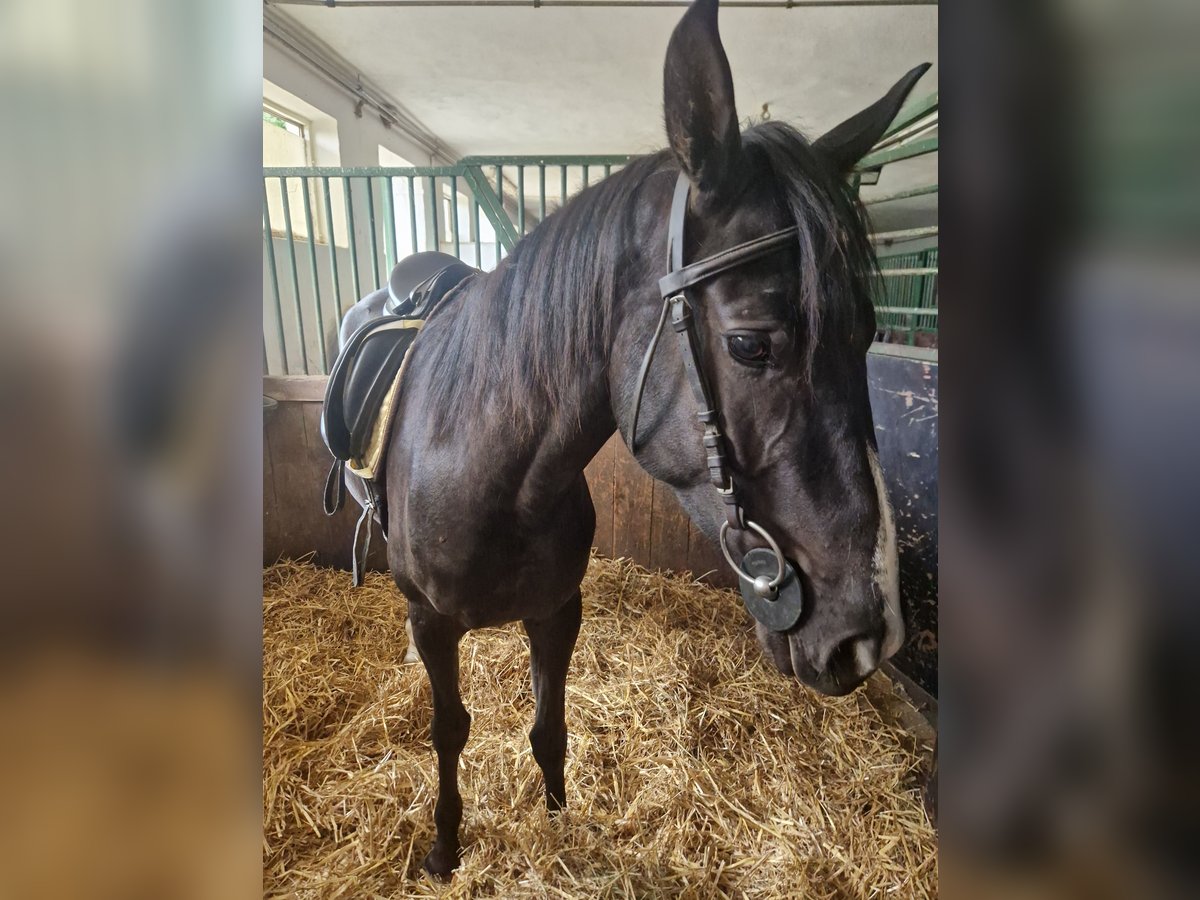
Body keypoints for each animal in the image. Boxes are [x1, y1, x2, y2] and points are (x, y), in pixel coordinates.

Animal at [331, 0, 926, 878]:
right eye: (750, 344)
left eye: (868, 335)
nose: (870, 638)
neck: (490, 470)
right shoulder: (435, 623)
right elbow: (449, 730)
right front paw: (444, 848)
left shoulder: (558, 610)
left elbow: (548, 726)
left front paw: (557, 825)